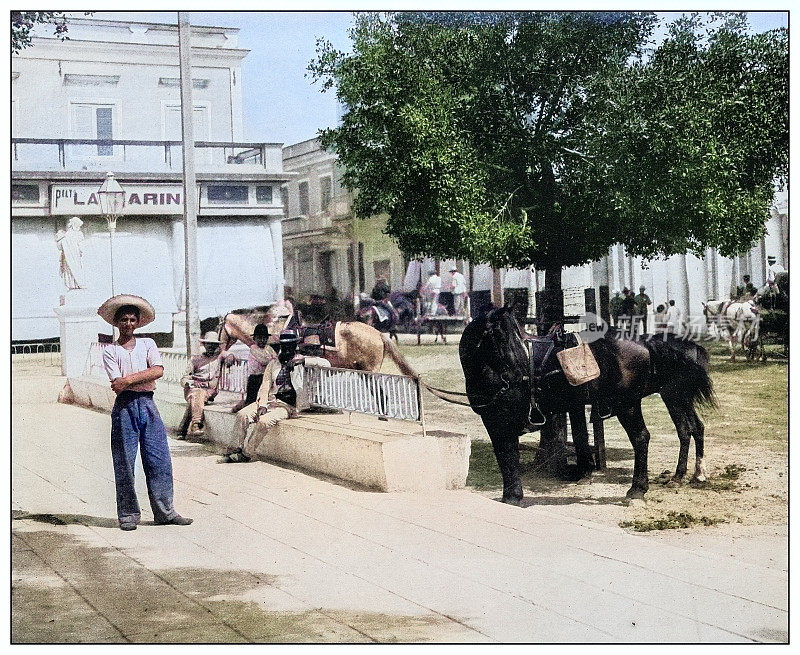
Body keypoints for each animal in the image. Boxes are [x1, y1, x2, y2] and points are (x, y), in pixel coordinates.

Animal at [460, 306, 716, 502]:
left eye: (514, 334)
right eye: (500, 336)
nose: (520, 376)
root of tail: (646, 344)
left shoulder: (499, 421)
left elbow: (507, 455)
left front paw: (512, 495)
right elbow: (507, 454)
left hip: (634, 403)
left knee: (643, 437)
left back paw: (638, 489)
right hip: (674, 398)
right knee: (690, 429)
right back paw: (688, 475)